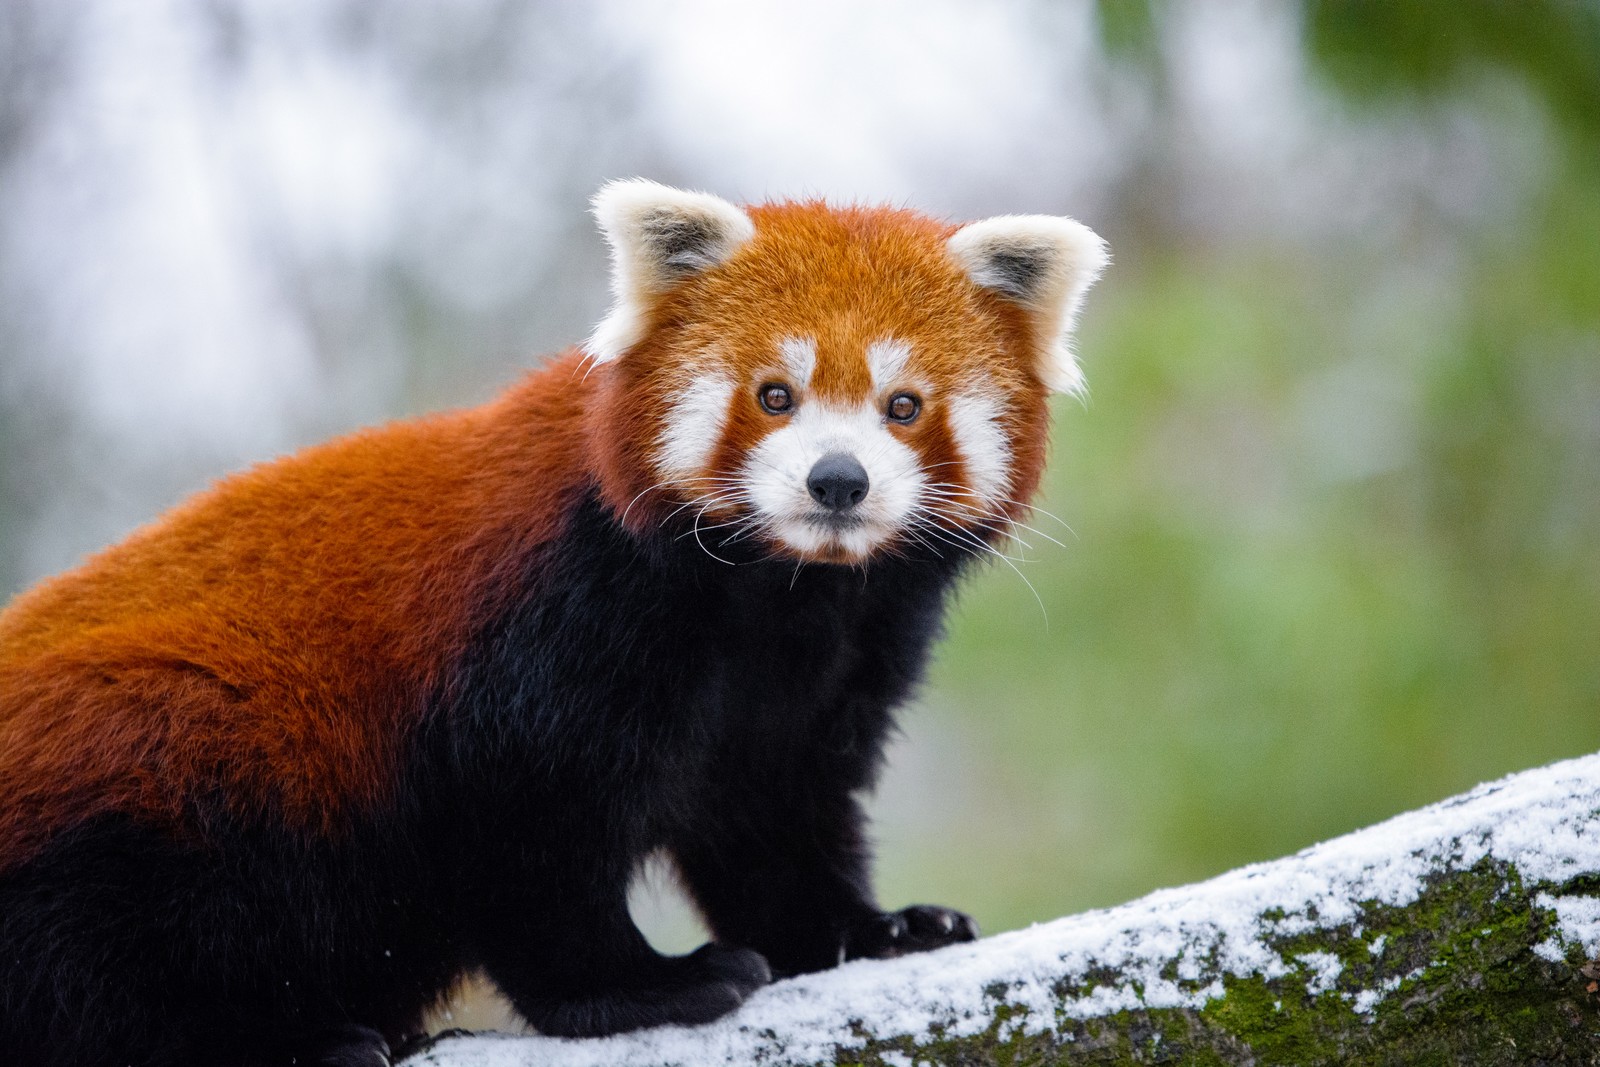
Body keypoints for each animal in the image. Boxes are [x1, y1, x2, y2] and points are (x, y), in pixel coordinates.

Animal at [0, 183, 1107, 1067]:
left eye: (903, 405)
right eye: (774, 395)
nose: (837, 480)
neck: (780, 594)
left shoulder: (827, 662)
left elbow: (772, 808)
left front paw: (870, 930)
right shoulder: (555, 616)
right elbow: (530, 830)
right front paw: (641, 986)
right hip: (145, 759)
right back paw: (283, 1039)